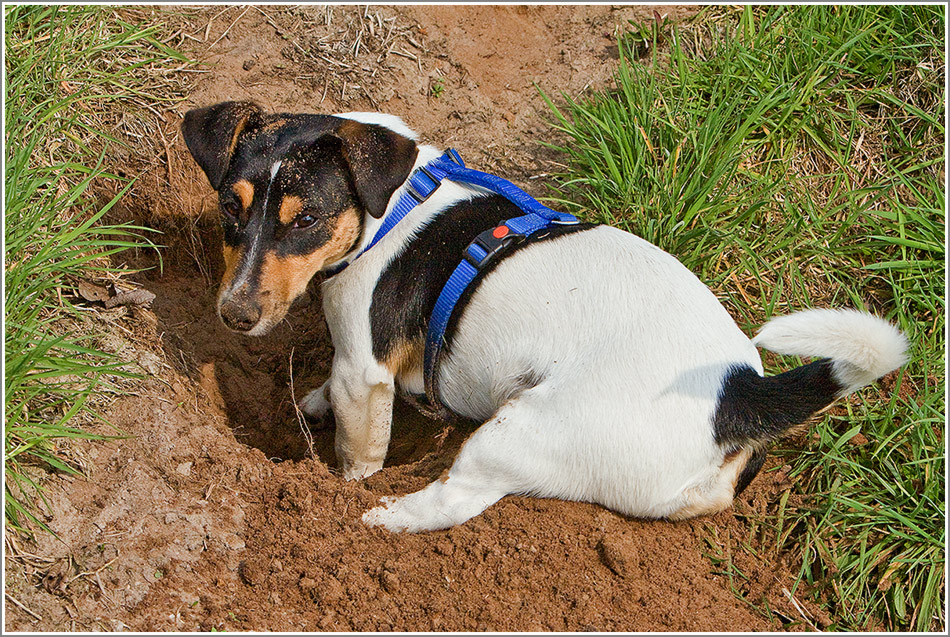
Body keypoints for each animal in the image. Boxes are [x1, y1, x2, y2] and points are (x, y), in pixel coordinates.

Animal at [184, 102, 908, 536]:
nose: (234, 313)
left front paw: (338, 487)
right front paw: (310, 400)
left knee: (456, 499)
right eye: (229, 206)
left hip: (518, 431)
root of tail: (740, 395)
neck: (390, 203)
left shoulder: (365, 370)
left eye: (306, 218)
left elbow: (357, 452)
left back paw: (382, 518)